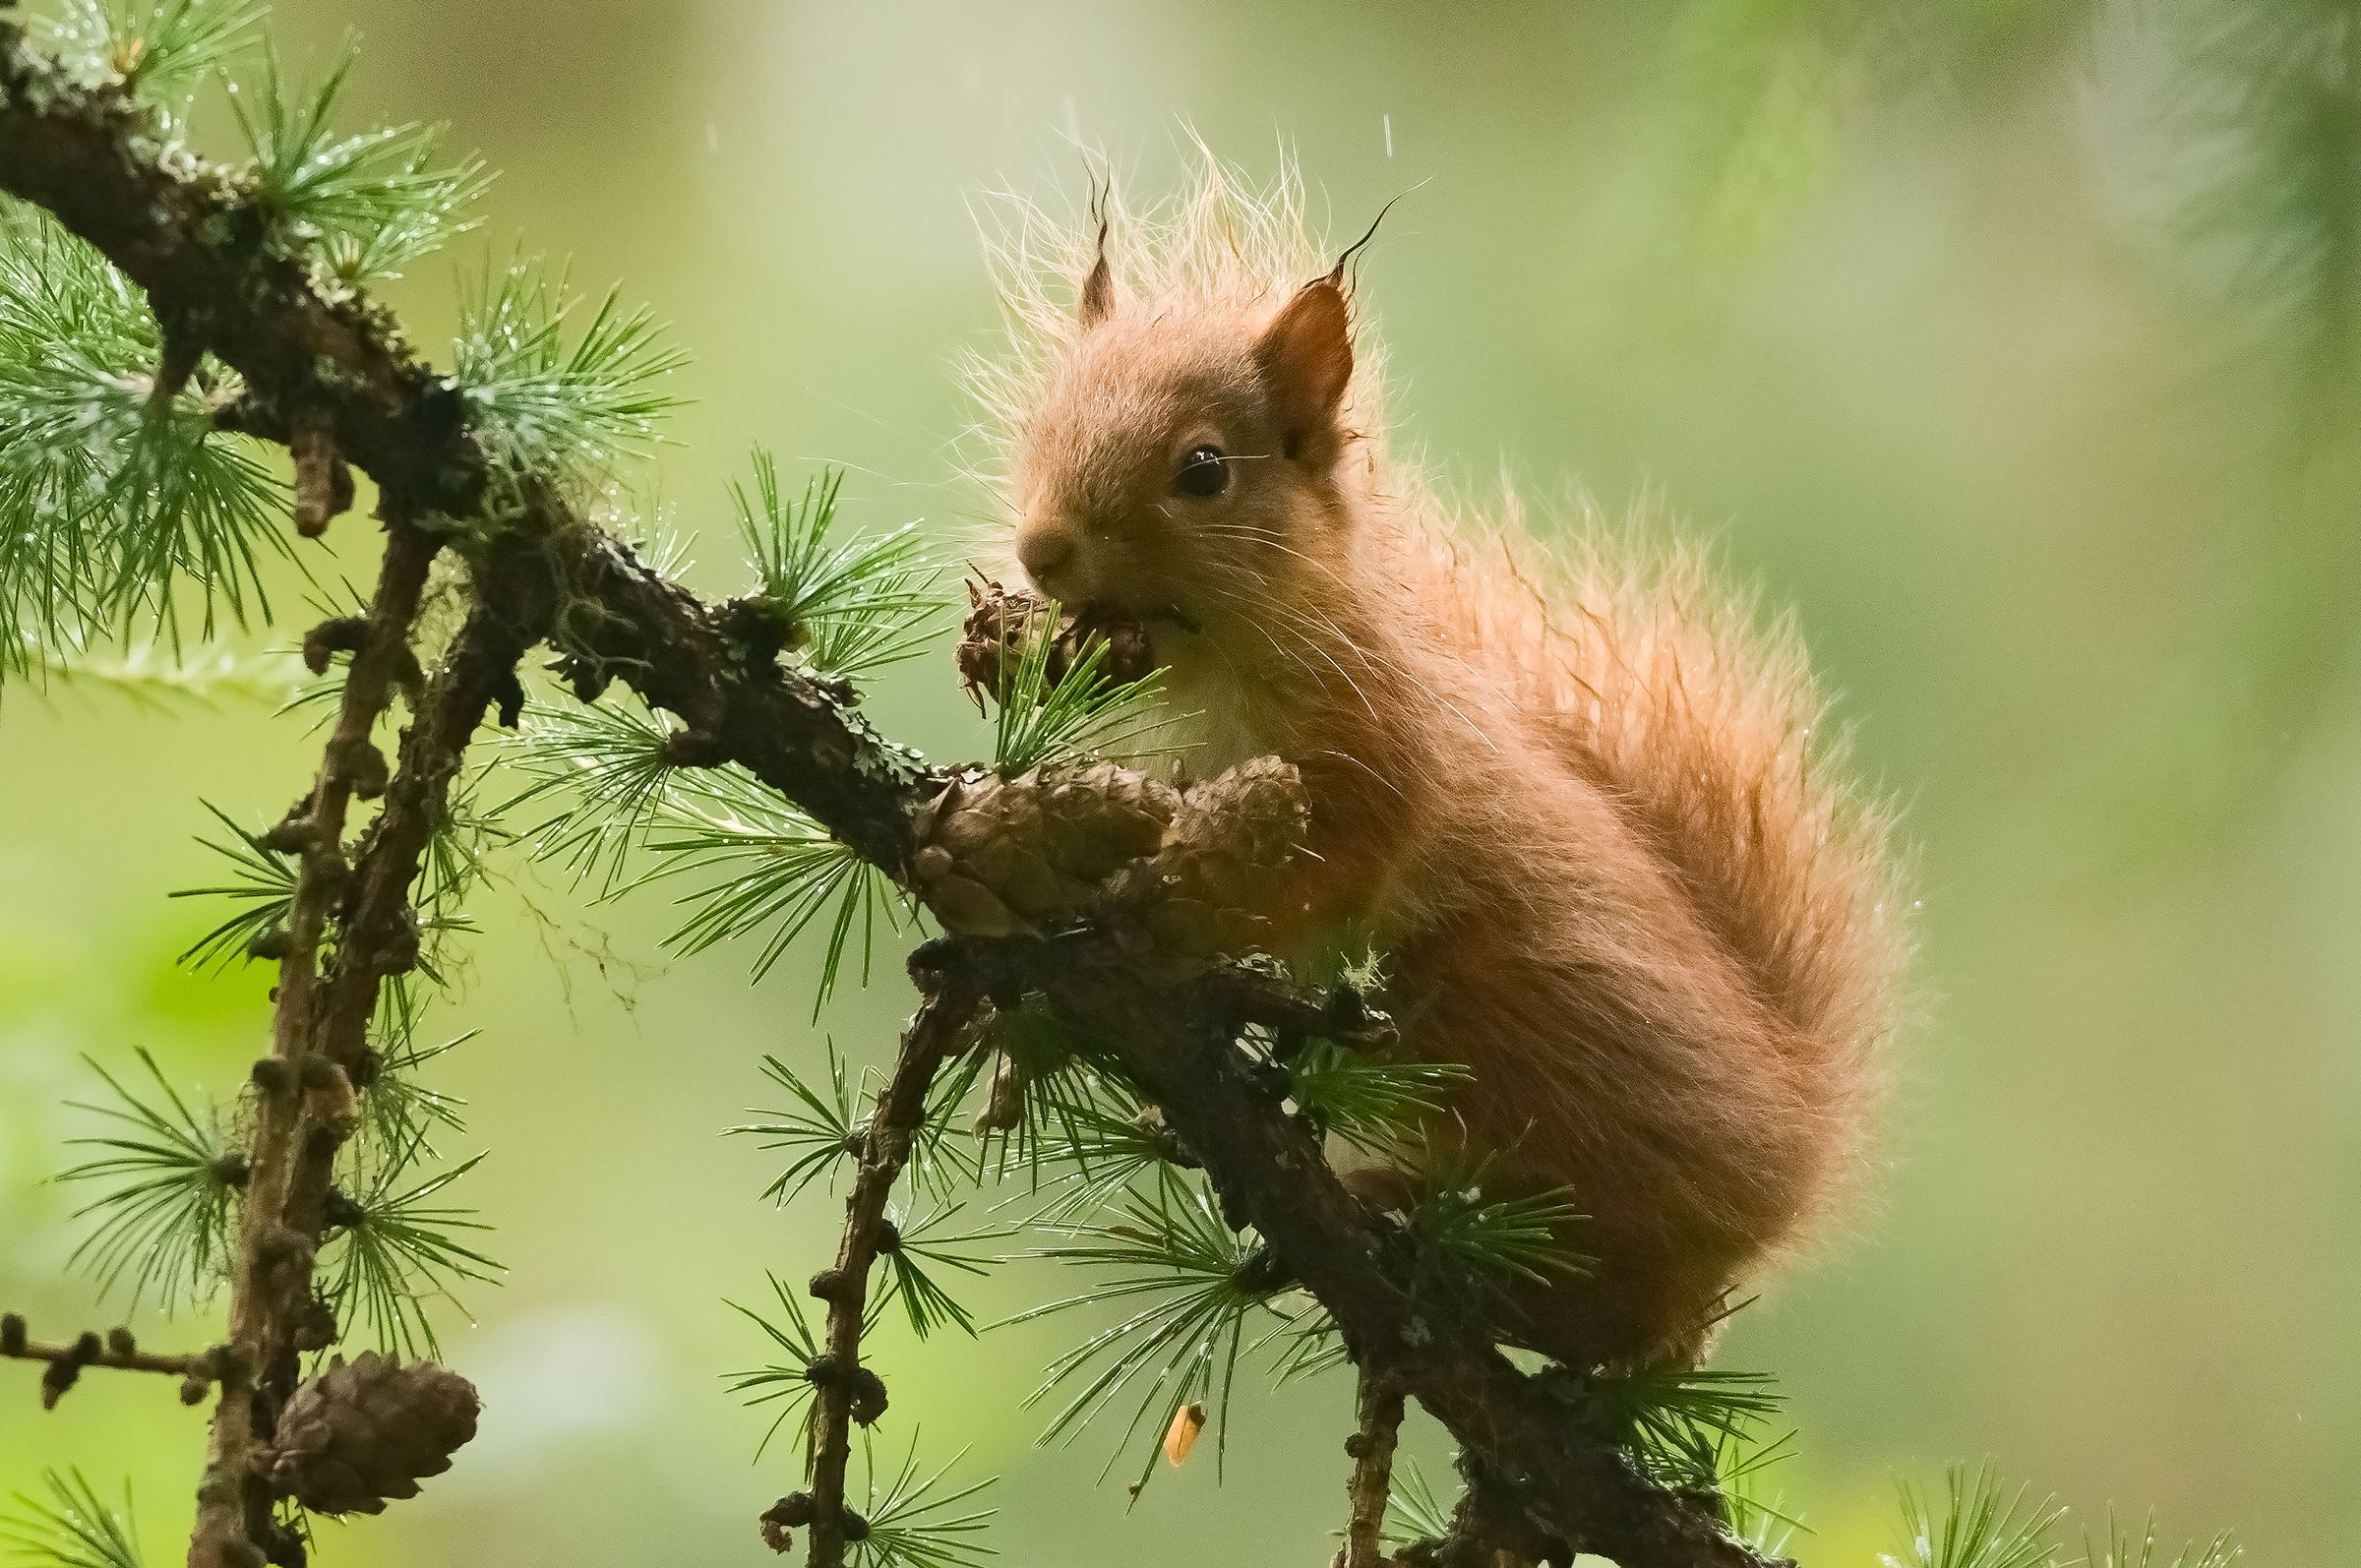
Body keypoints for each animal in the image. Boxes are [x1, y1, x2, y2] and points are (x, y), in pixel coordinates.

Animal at [966, 164, 1907, 1372]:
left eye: (1205, 469)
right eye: (1041, 424)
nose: (1042, 550)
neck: (1212, 670)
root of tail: (1791, 1165)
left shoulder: (1381, 759)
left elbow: (1333, 866)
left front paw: (1180, 922)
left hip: (1514, 1033)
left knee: (1614, 1312)